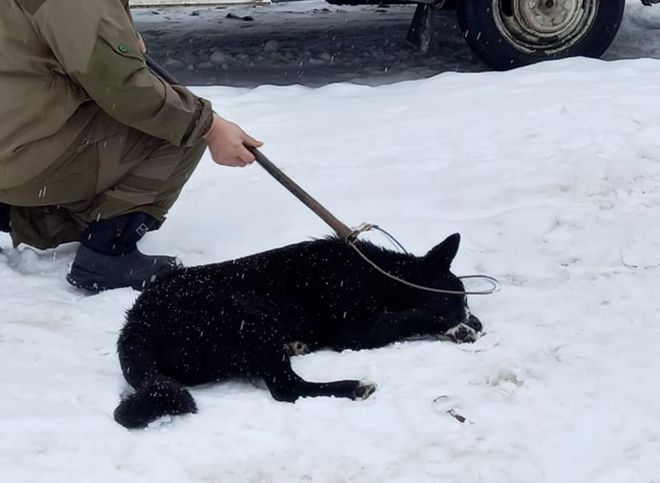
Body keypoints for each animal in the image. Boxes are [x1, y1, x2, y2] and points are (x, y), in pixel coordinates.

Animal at [113, 233, 482, 428]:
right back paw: (353, 386)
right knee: (287, 388)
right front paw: (455, 327)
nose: (479, 323)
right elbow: (411, 316)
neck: (378, 275)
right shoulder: (354, 332)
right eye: (460, 299)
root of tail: (136, 324)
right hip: (252, 318)